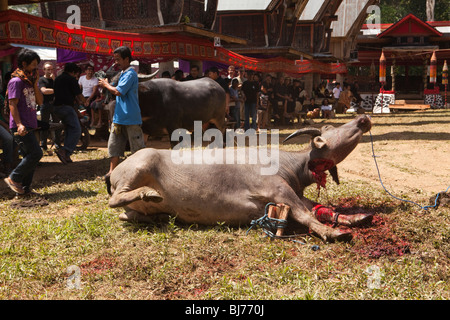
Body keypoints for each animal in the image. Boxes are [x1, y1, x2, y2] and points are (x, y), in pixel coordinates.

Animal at [107, 115, 374, 242]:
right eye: (331, 130)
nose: (363, 119)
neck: (291, 165)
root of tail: (114, 172)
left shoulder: (295, 194)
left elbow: (320, 207)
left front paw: (354, 218)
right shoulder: (279, 191)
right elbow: (305, 214)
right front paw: (333, 233)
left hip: (135, 208)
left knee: (126, 214)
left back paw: (159, 216)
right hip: (140, 165)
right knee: (115, 199)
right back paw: (148, 193)